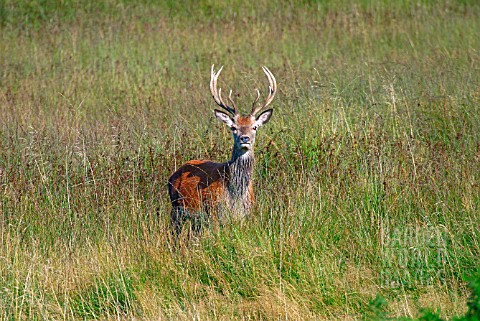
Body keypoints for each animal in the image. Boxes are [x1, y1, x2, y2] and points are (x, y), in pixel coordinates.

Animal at [168, 65, 278, 235]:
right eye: (233, 127)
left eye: (255, 127)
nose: (245, 138)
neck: (235, 195)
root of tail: (174, 173)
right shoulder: (214, 212)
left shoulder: (246, 215)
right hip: (176, 209)